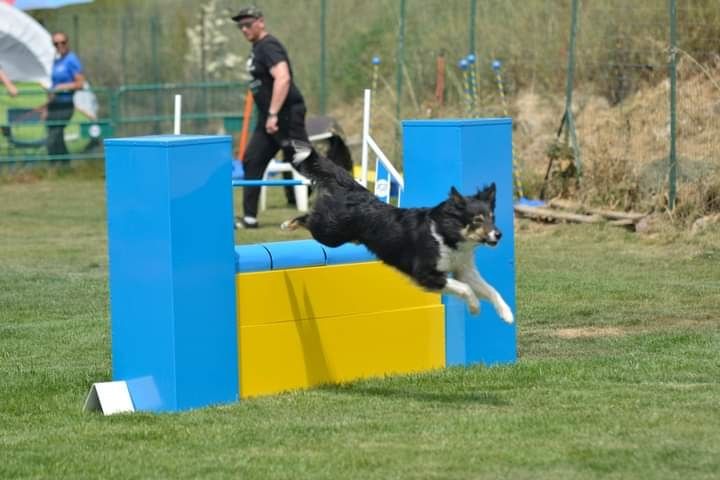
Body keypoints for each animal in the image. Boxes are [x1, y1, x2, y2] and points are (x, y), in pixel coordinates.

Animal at [284, 145, 516, 326]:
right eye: (477, 220)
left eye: (492, 217)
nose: (499, 235)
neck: (445, 234)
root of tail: (356, 191)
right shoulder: (425, 274)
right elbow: (466, 288)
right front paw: (475, 307)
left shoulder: (463, 269)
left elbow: (490, 289)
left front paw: (507, 314)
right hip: (330, 234)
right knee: (309, 218)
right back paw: (288, 223)